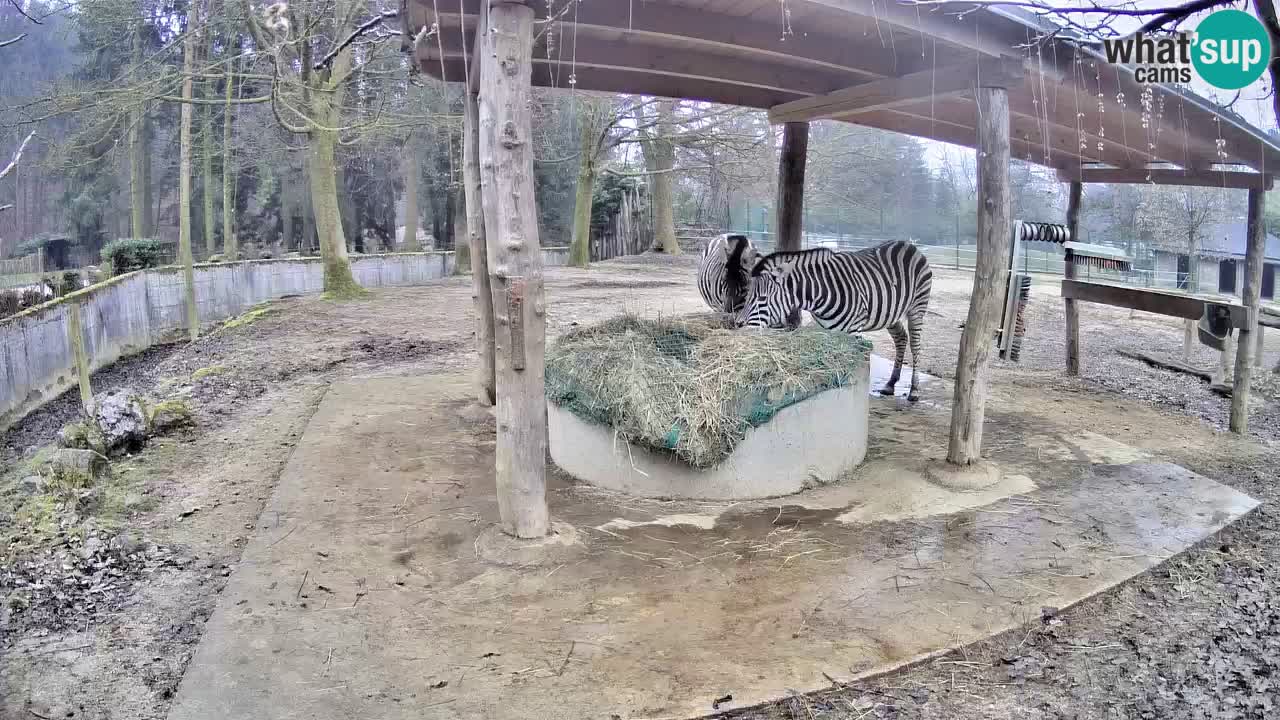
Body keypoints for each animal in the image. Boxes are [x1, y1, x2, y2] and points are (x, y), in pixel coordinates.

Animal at [742, 239, 931, 397]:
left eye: (762, 299)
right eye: (747, 298)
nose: (741, 328)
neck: (820, 292)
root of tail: (908, 244)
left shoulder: (854, 331)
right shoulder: (827, 330)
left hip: (917, 308)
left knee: (915, 345)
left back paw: (914, 390)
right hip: (890, 314)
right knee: (901, 338)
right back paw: (891, 384)